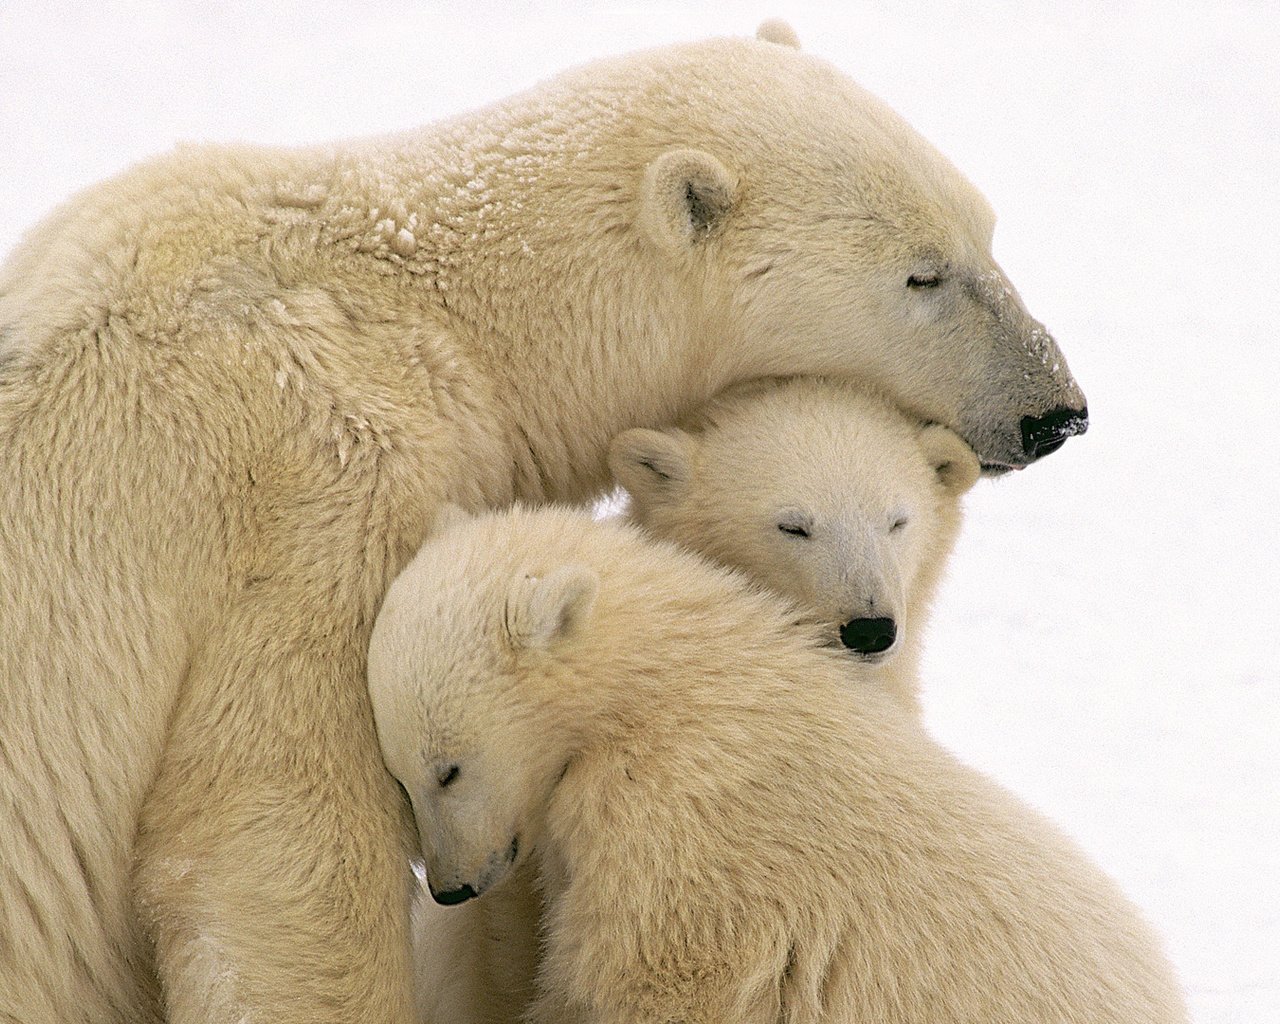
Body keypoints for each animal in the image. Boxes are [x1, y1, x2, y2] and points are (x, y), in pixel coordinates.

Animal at [0, 18, 1080, 1024]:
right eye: (922, 275)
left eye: (985, 229)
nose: (1057, 411)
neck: (437, 307)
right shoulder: (318, 483)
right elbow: (273, 832)